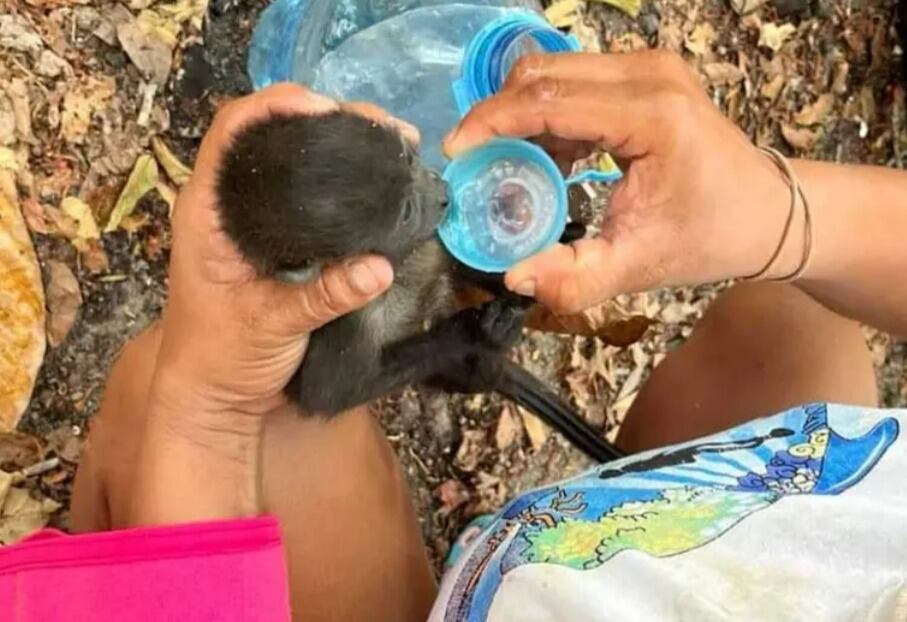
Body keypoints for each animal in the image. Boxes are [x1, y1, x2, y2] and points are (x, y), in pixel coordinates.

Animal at [215, 110, 622, 462]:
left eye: (409, 158)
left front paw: (517, 281)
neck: (401, 262)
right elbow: (330, 393)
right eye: (407, 212)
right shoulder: (343, 322)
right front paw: (464, 335)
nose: (444, 192)